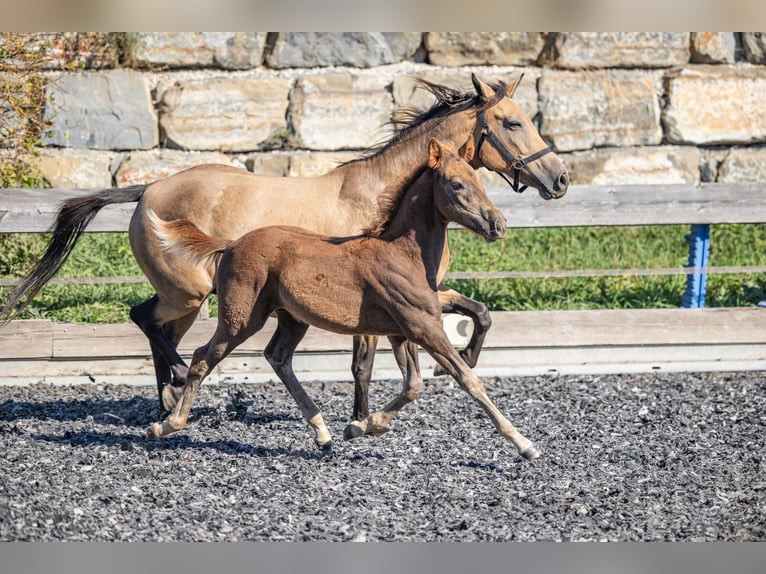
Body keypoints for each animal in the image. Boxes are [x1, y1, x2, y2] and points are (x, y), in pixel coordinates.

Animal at [0, 74, 568, 424]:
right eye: (513, 122)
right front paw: (361, 420)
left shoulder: (426, 291)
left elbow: (480, 311)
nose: (559, 179)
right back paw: (180, 389)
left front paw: (462, 357)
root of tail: (147, 191)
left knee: (157, 329)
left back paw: (170, 403)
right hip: (190, 294)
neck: (382, 198)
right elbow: (363, 364)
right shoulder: (375, 303)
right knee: (147, 321)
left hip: (188, 301)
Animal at [147, 137, 540, 460]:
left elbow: (413, 384)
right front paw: (523, 443)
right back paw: (165, 425)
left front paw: (362, 426)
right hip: (241, 318)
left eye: (479, 180)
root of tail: (229, 245)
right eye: (457, 184)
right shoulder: (422, 326)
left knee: (278, 357)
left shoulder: (402, 330)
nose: (498, 225)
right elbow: (466, 379)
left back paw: (323, 434)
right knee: (202, 357)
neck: (403, 254)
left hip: (292, 318)